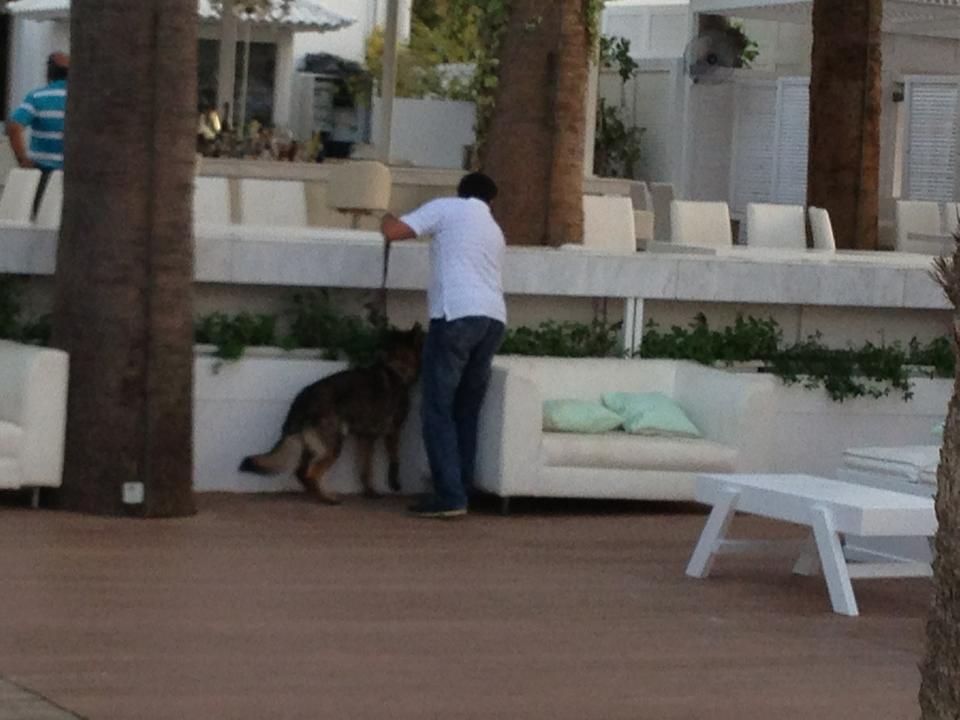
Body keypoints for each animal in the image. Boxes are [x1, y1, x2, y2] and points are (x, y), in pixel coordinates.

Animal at [238, 324, 422, 504]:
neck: (396, 368)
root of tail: (303, 398)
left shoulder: (365, 438)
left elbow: (365, 469)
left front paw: (370, 492)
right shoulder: (392, 432)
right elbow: (394, 459)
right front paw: (394, 483)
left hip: (311, 446)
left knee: (301, 473)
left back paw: (318, 495)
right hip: (333, 447)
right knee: (310, 474)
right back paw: (327, 499)